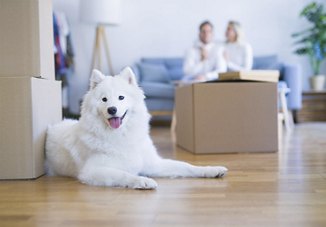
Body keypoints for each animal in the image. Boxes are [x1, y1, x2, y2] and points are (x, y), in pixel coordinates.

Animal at [45, 67, 228, 190]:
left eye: (121, 97)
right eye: (104, 99)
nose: (112, 109)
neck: (121, 135)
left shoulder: (154, 164)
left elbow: (186, 166)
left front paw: (211, 170)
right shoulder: (93, 171)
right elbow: (123, 174)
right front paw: (142, 181)